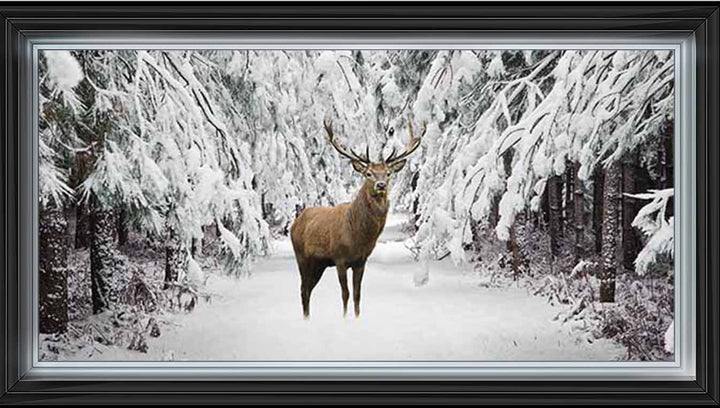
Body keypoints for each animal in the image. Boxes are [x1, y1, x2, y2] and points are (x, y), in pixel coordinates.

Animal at [290, 119, 425, 319]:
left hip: (319, 263)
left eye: (388, 173)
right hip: (301, 256)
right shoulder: (339, 258)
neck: (358, 237)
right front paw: (345, 319)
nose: (381, 185)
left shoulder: (361, 261)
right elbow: (345, 294)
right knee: (303, 289)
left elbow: (357, 294)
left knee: (308, 289)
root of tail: (296, 221)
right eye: (368, 173)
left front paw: (357, 318)